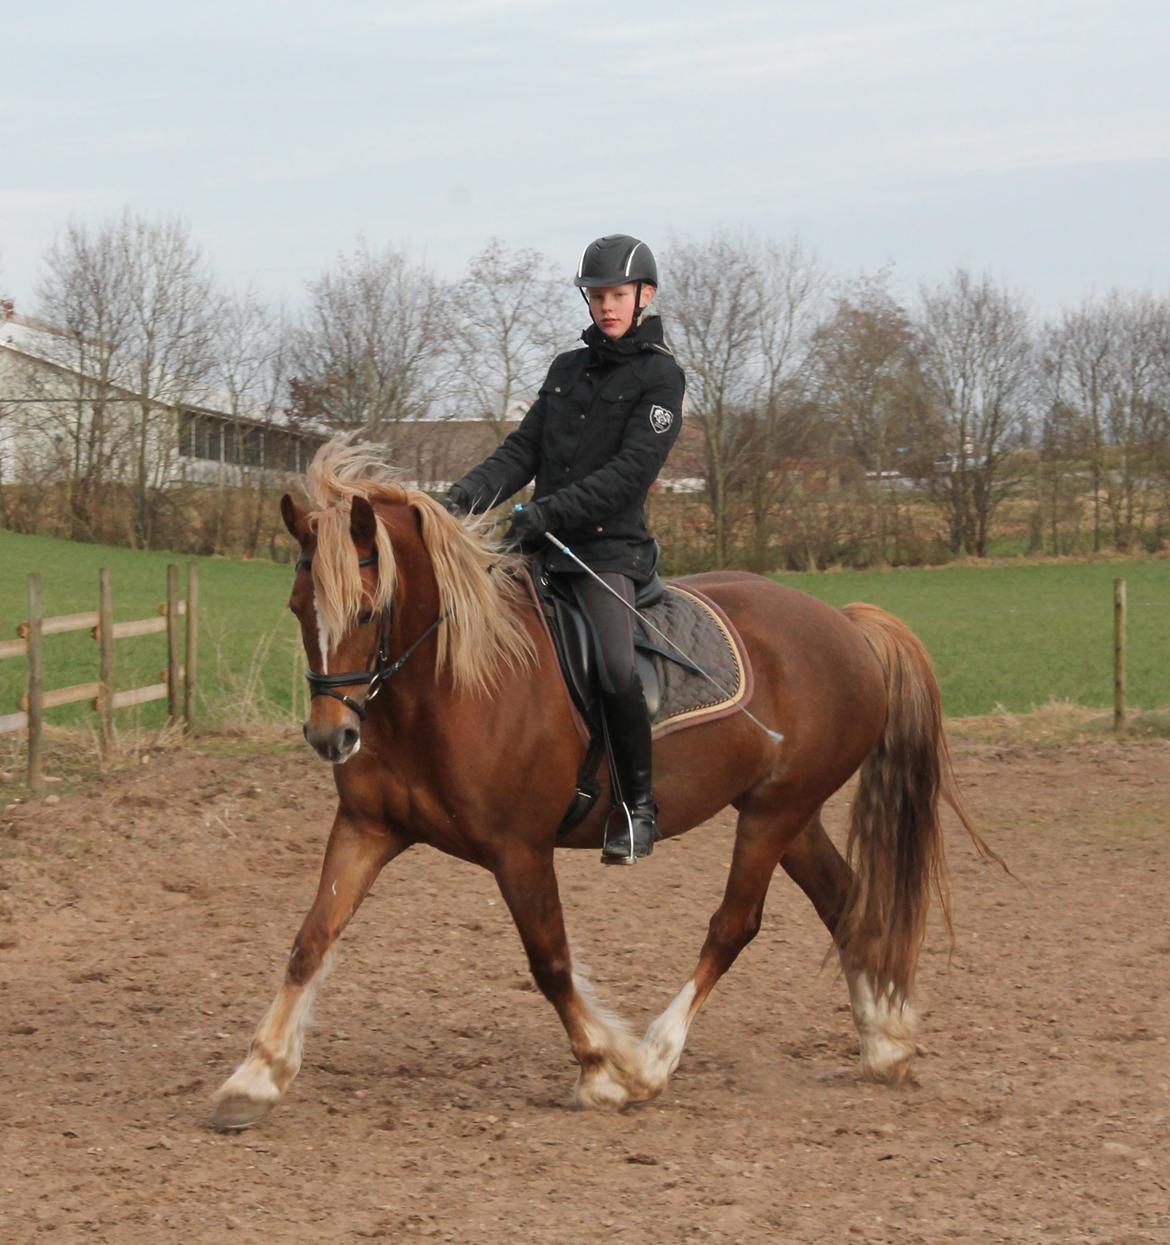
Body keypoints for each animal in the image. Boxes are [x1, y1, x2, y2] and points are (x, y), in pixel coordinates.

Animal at [212, 445, 985, 1130]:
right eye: (297, 605)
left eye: (368, 612)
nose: (330, 736)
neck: (446, 687)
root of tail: (846, 624)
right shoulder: (368, 828)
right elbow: (310, 939)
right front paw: (254, 1078)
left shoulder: (519, 849)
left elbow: (551, 961)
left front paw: (608, 1070)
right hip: (788, 812)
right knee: (845, 900)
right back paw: (885, 1040)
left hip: (774, 813)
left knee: (734, 924)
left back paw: (660, 1054)